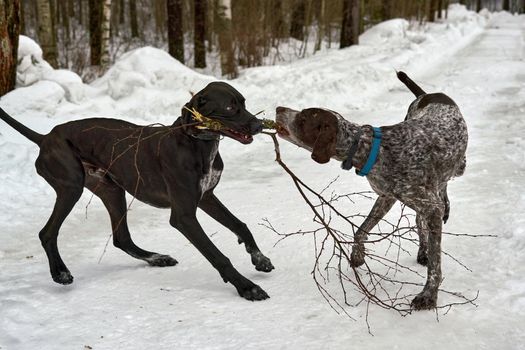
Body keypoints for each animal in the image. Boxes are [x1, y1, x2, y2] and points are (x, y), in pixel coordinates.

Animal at [2, 82, 274, 300]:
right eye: (229, 108)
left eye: (243, 103)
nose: (259, 125)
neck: (197, 144)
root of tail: (45, 137)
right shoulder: (184, 216)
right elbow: (218, 255)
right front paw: (247, 287)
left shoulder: (206, 198)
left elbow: (240, 226)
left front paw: (259, 258)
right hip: (71, 186)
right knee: (47, 233)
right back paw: (60, 273)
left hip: (112, 190)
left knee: (121, 238)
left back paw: (156, 258)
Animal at [274, 71, 466, 308]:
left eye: (303, 118)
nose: (278, 108)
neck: (370, 147)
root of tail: (427, 94)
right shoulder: (387, 197)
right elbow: (361, 230)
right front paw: (357, 255)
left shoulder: (427, 205)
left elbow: (435, 265)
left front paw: (428, 295)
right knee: (422, 214)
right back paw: (423, 248)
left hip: (457, 169)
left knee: (446, 185)